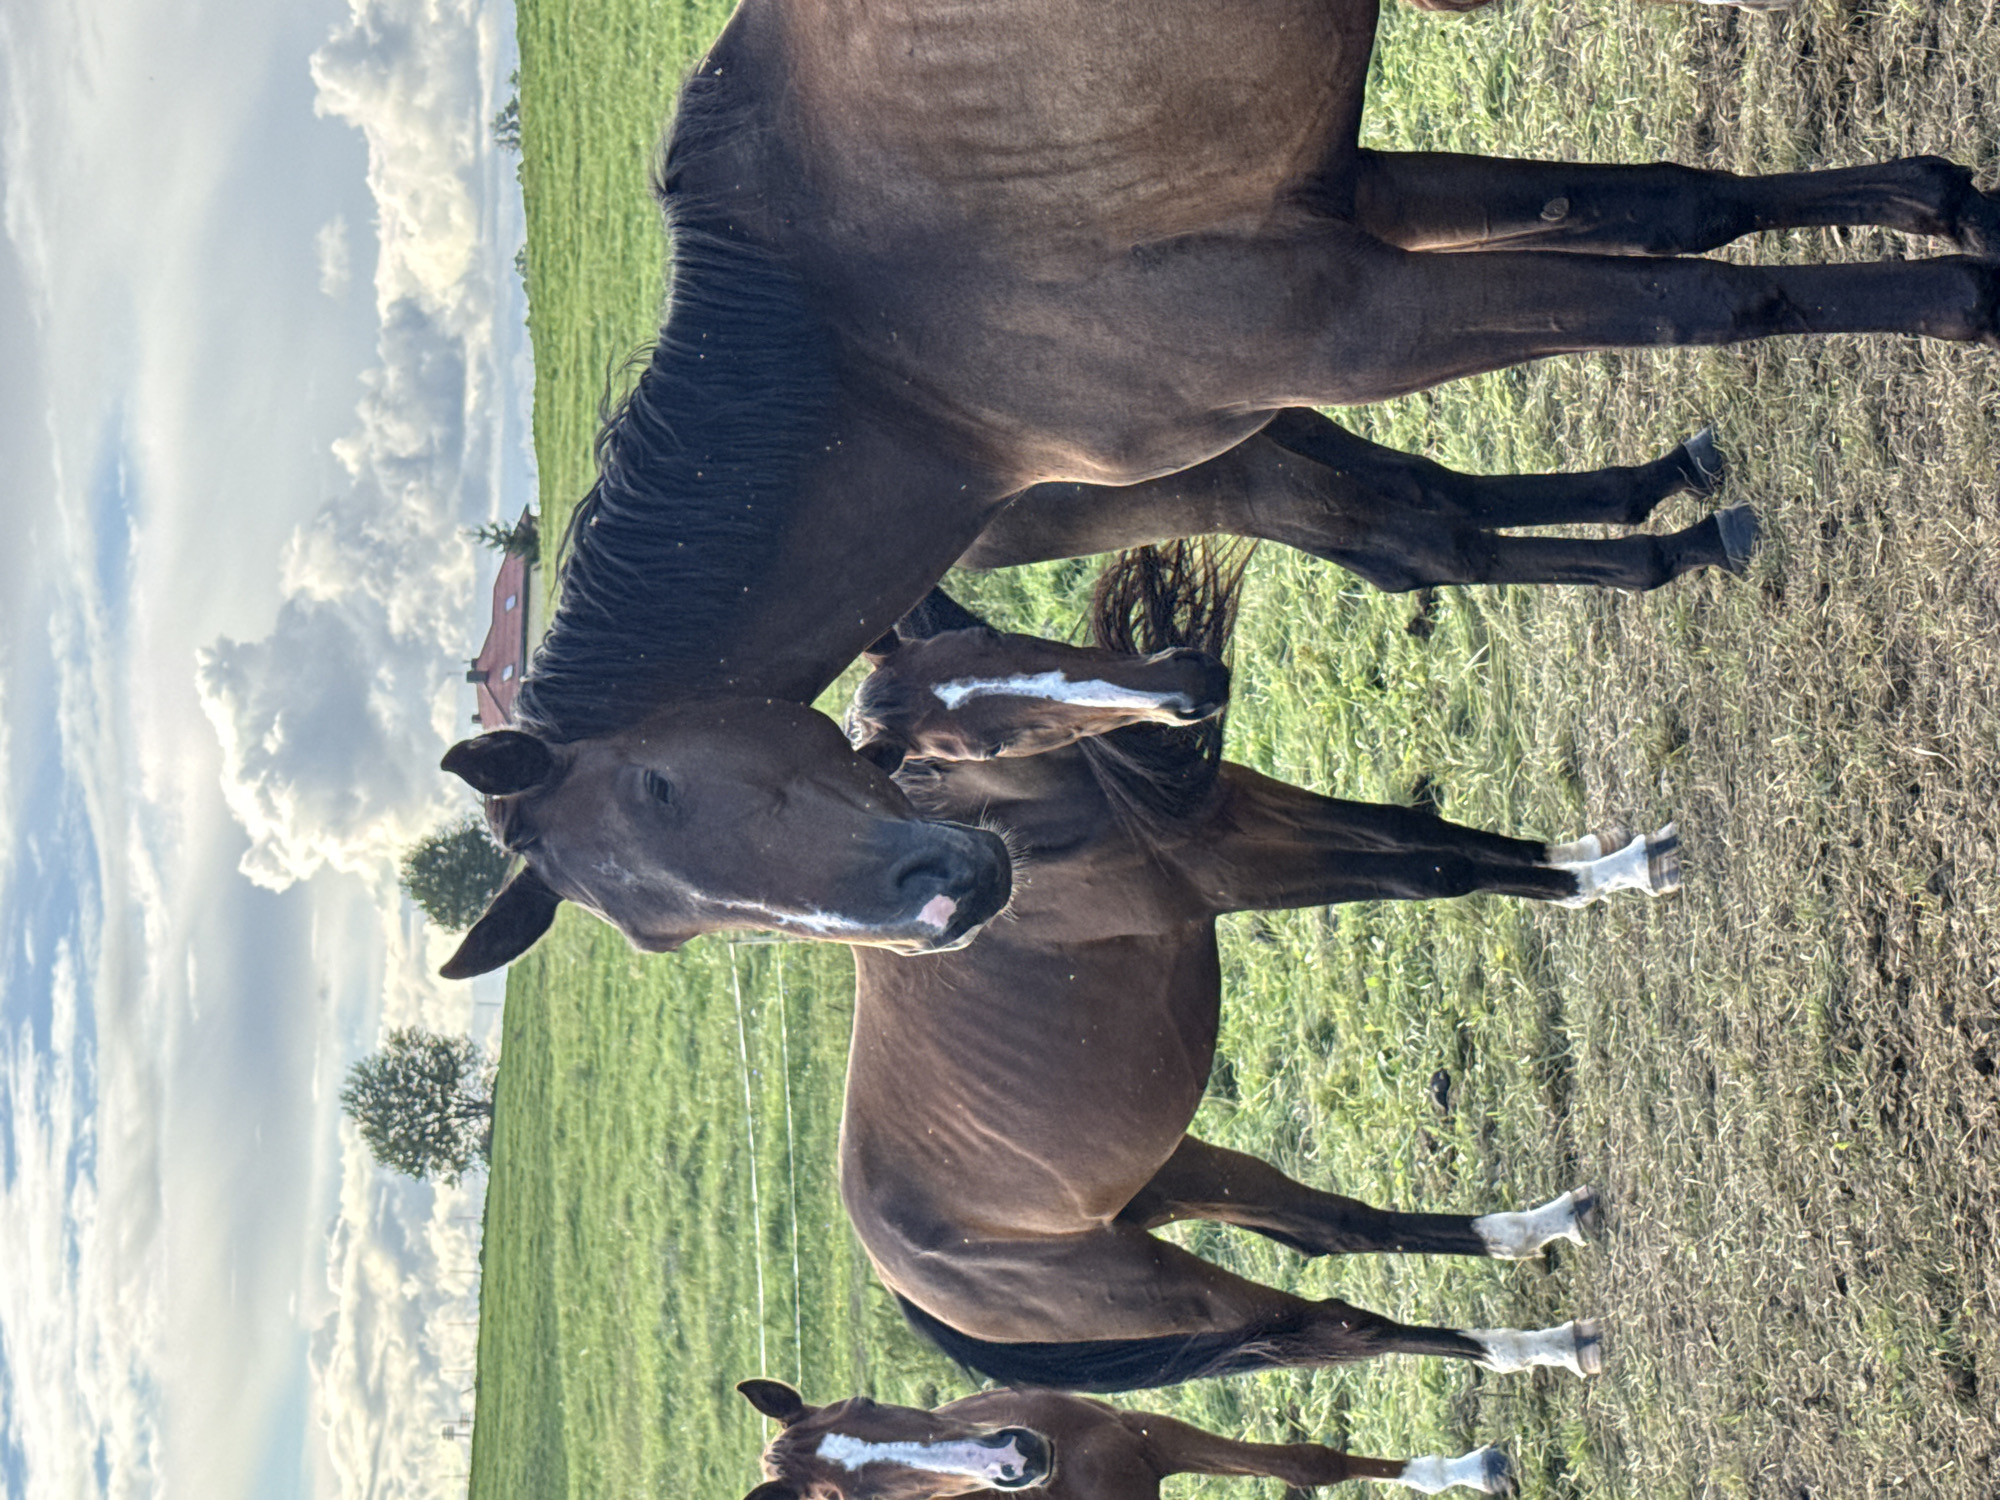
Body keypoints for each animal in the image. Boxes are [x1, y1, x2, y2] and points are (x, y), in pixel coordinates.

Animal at [436, 0, 2000, 977]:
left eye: (665, 789)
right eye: (682, 933)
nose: (946, 903)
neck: (879, 350)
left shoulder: (1348, 285)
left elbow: (1698, 264)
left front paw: (1953, 253)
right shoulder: (1346, 279)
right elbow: (1689, 253)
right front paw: (1948, 240)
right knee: (1412, 534)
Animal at [832, 543, 1649, 1391]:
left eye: (989, 636)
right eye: (982, 746)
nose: (1188, 685)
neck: (1014, 826)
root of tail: (904, 1280)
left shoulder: (1230, 812)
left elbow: (1414, 829)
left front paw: (1583, 859)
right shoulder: (1224, 871)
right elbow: (1435, 872)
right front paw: (1612, 874)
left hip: (1178, 1176)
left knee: (1334, 1228)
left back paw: (1535, 1228)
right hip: (1166, 1289)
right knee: (1336, 1327)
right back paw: (1542, 1346)